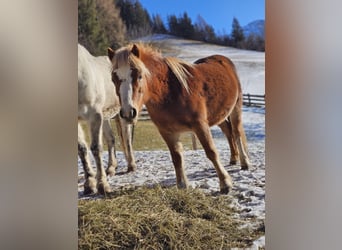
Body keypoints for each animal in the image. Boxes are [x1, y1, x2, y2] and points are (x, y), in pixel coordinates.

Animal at [78, 44, 136, 194]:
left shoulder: (94, 116)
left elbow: (96, 148)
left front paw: (102, 185)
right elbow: (82, 149)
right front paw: (89, 183)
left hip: (124, 114)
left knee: (127, 139)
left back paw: (131, 166)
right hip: (105, 118)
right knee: (111, 139)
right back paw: (110, 169)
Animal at [107, 44, 251, 193]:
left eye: (139, 75)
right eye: (113, 79)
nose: (128, 113)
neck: (171, 92)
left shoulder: (200, 125)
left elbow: (211, 152)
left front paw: (225, 183)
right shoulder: (167, 131)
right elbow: (176, 157)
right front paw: (182, 185)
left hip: (236, 109)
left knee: (236, 133)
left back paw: (244, 162)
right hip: (219, 115)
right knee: (228, 132)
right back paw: (234, 158)